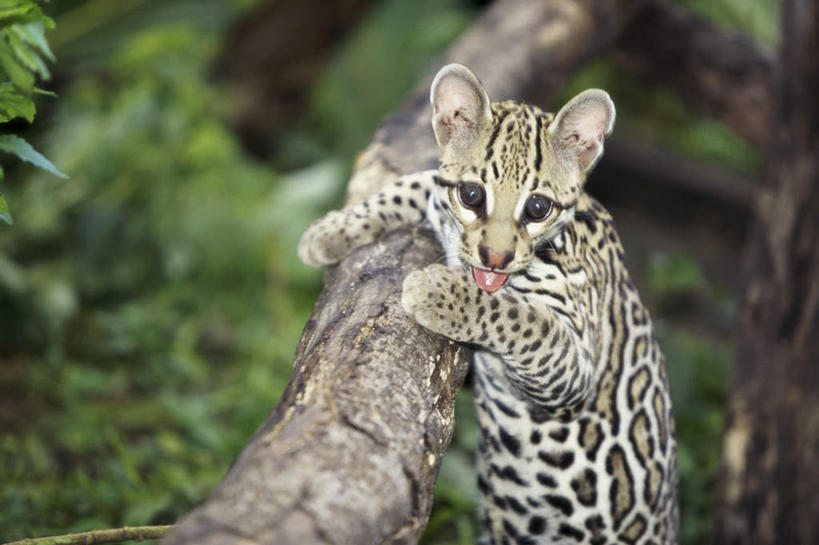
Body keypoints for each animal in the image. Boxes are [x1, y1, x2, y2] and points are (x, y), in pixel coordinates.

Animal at [302, 65, 680, 544]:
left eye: (538, 206)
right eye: (472, 195)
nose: (495, 257)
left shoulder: (574, 370)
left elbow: (520, 317)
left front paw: (436, 291)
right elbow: (418, 181)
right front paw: (333, 230)